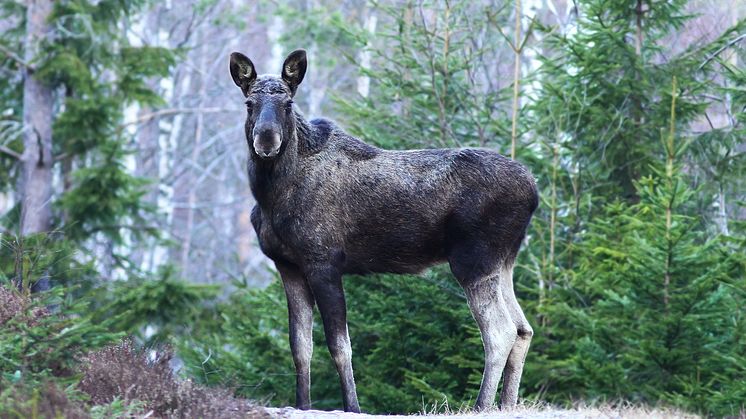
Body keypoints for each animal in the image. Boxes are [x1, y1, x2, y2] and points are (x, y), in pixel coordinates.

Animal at [230, 49, 536, 414]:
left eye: (288, 103)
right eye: (249, 103)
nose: (266, 139)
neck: (271, 196)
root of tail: (534, 192)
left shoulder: (324, 262)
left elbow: (340, 346)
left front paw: (353, 406)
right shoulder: (288, 266)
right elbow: (300, 347)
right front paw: (302, 404)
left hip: (474, 260)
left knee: (501, 331)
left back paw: (481, 406)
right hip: (503, 262)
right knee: (523, 329)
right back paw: (507, 405)